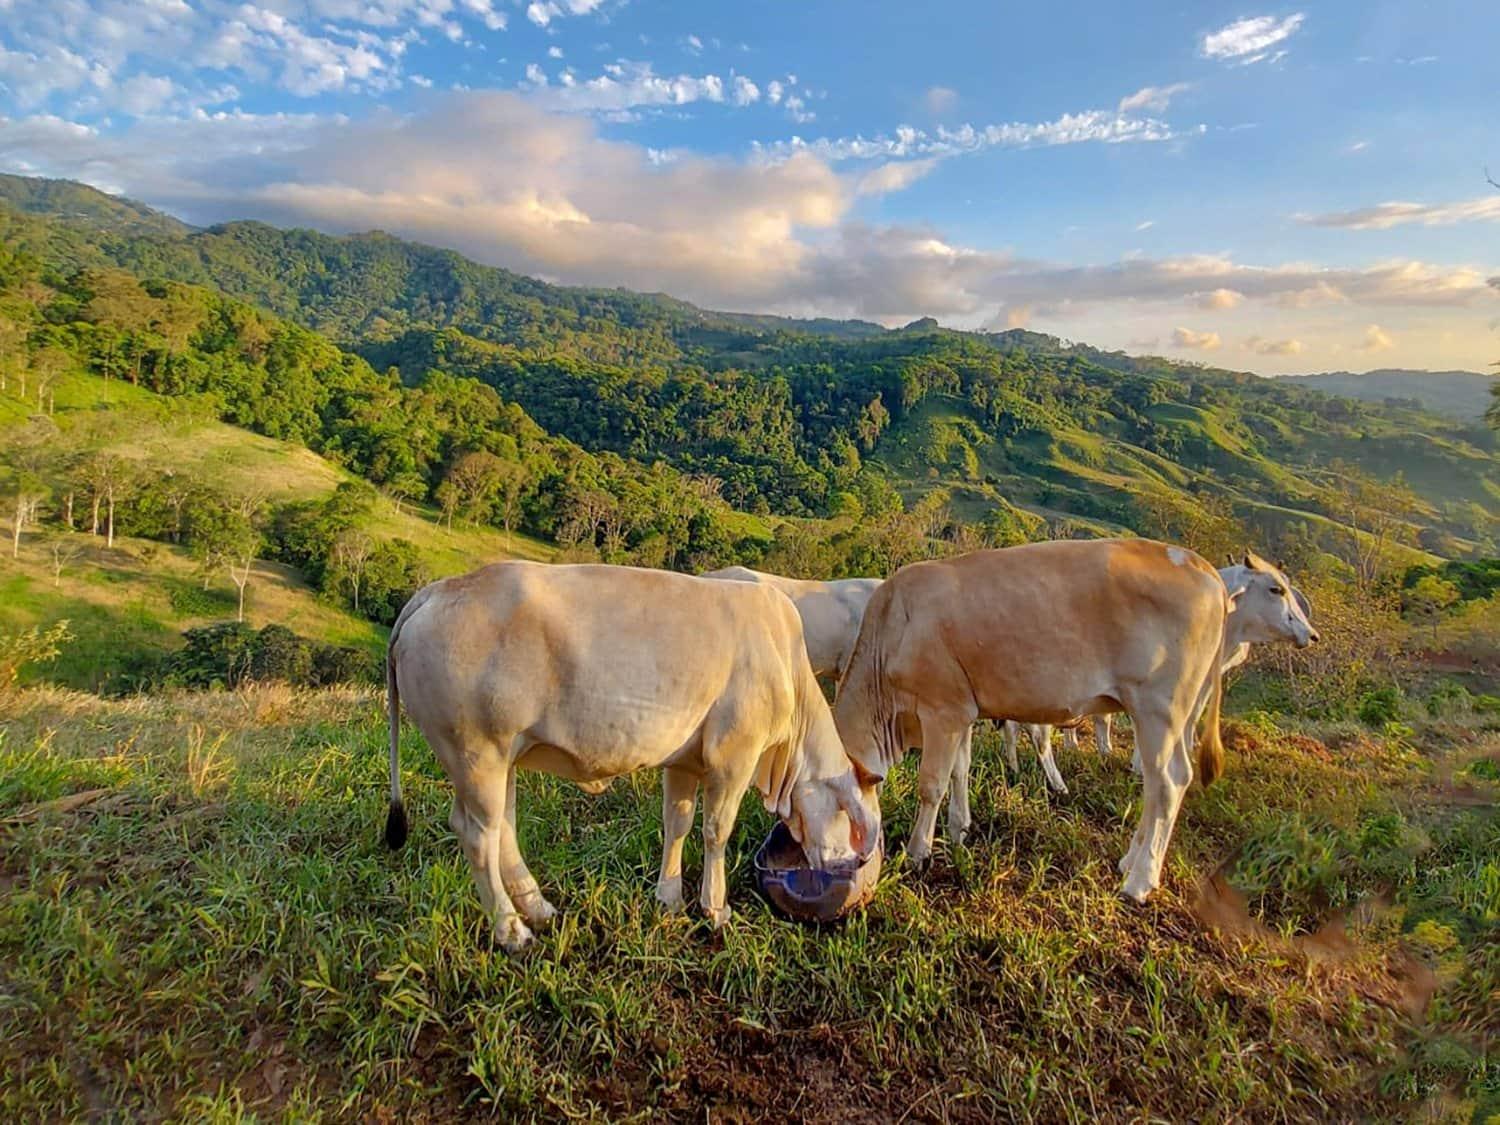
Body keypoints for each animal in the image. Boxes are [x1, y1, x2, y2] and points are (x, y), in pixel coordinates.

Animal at [835, 538, 1230, 902]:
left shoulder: (941, 710)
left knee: (1168, 783)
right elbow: (960, 770)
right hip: (1167, 714)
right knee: (1157, 784)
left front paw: (919, 853)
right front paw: (959, 830)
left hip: (1158, 708)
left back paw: (1139, 881)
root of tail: (1195, 561)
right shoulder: (963, 711)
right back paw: (1128, 863)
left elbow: (932, 784)